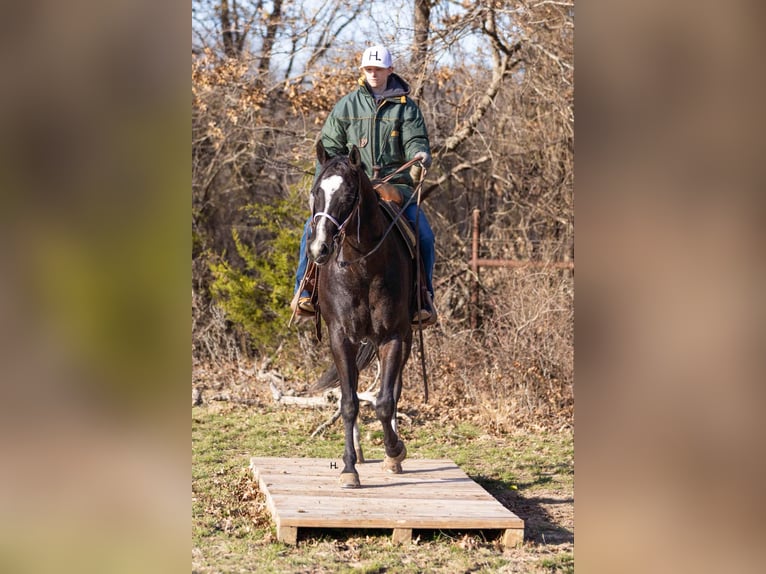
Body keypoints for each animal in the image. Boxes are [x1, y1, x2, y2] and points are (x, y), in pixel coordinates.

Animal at [306, 142, 414, 488]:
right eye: (316, 192)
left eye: (348, 195)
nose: (319, 249)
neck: (363, 267)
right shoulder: (340, 337)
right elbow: (349, 402)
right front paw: (349, 468)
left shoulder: (392, 337)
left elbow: (384, 402)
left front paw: (395, 450)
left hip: (406, 339)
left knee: (393, 391)